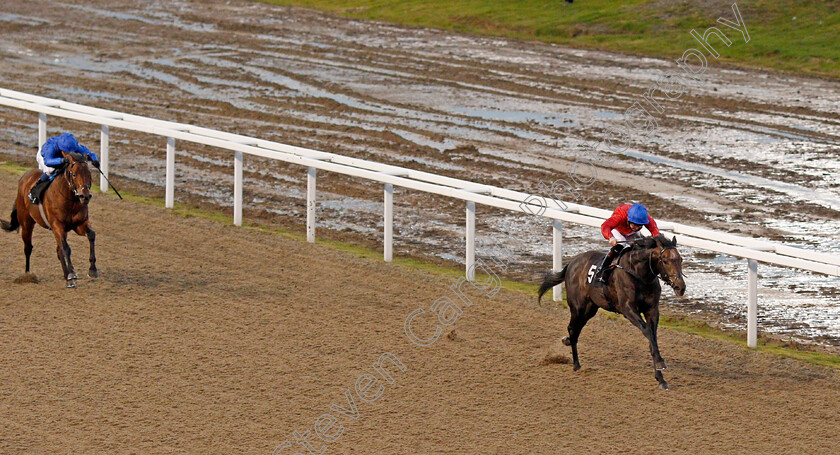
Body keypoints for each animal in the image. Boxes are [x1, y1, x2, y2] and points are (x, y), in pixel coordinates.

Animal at [1, 153, 97, 288]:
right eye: (74, 174)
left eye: (89, 174)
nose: (85, 196)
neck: (70, 199)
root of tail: (24, 178)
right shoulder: (57, 225)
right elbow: (66, 248)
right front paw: (70, 275)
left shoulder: (78, 224)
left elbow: (91, 235)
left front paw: (92, 270)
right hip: (26, 223)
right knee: (28, 247)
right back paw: (27, 275)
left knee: (58, 249)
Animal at [540, 237, 684, 390]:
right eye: (665, 261)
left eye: (680, 259)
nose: (681, 287)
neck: (639, 274)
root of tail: (572, 263)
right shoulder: (627, 309)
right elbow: (646, 330)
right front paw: (661, 363)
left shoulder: (652, 310)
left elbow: (653, 338)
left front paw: (661, 378)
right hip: (578, 307)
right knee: (573, 328)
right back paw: (576, 364)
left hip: (590, 308)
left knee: (576, 329)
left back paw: (567, 341)